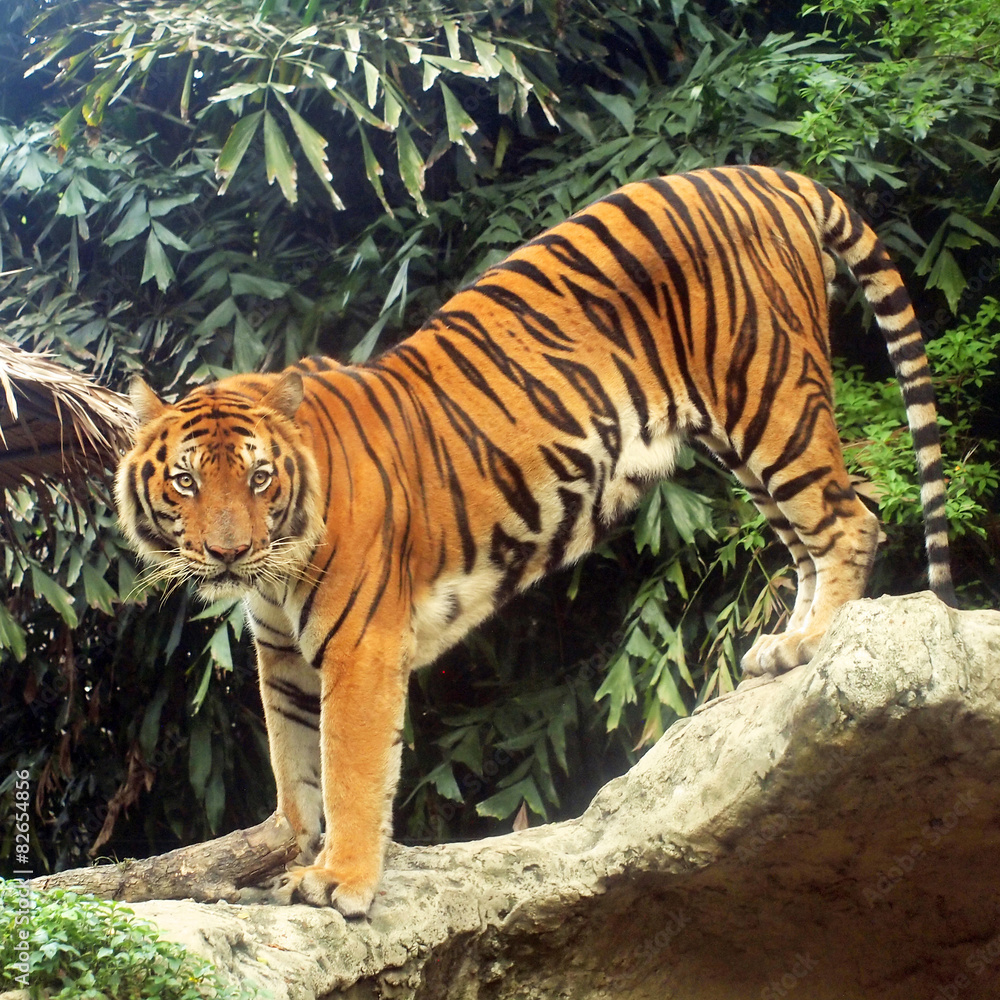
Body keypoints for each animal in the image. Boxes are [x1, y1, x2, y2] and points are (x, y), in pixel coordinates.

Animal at [116, 165, 955, 916]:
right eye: (186, 482)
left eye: (259, 479)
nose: (227, 554)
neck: (275, 567)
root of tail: (771, 175)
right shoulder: (283, 655)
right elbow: (294, 761)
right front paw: (289, 847)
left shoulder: (360, 648)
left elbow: (349, 766)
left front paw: (339, 880)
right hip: (739, 441)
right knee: (803, 541)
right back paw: (783, 650)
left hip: (768, 395)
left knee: (849, 518)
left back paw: (815, 642)